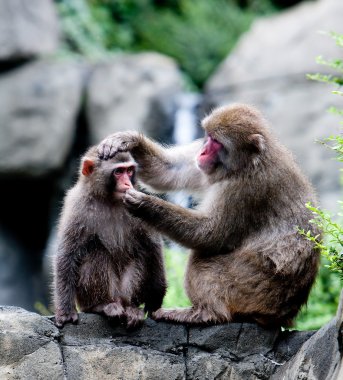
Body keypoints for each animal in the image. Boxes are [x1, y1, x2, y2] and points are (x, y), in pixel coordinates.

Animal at [53, 147, 167, 328]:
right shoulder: (77, 206)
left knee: (141, 255)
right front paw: (65, 311)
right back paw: (102, 305)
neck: (109, 199)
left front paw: (155, 300)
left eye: (129, 171)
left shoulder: (140, 206)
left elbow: (153, 248)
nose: (128, 184)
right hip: (87, 298)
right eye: (118, 171)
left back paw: (131, 308)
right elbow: (67, 254)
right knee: (97, 252)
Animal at [98, 103, 322, 326]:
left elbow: (211, 235)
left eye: (217, 142)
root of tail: (284, 314)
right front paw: (128, 141)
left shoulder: (246, 188)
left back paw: (206, 313)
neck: (246, 164)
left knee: (203, 261)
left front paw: (144, 204)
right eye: (208, 137)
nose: (203, 151)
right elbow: (170, 172)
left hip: (254, 286)